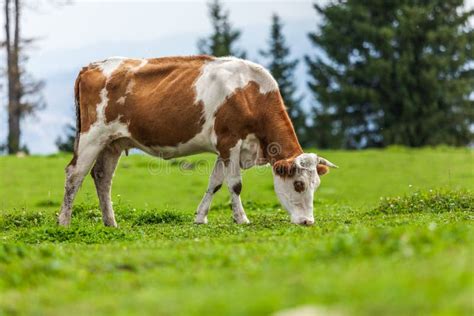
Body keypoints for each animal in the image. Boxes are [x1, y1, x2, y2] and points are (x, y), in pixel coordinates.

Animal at [58, 55, 336, 227]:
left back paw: (111, 222)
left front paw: (200, 218)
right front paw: (241, 219)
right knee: (75, 174)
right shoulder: (229, 141)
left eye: (316, 184)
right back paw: (64, 221)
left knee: (102, 177)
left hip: (113, 142)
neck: (250, 94)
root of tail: (92, 66)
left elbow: (215, 183)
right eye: (299, 184)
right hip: (92, 136)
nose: (308, 222)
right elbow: (235, 185)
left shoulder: (225, 149)